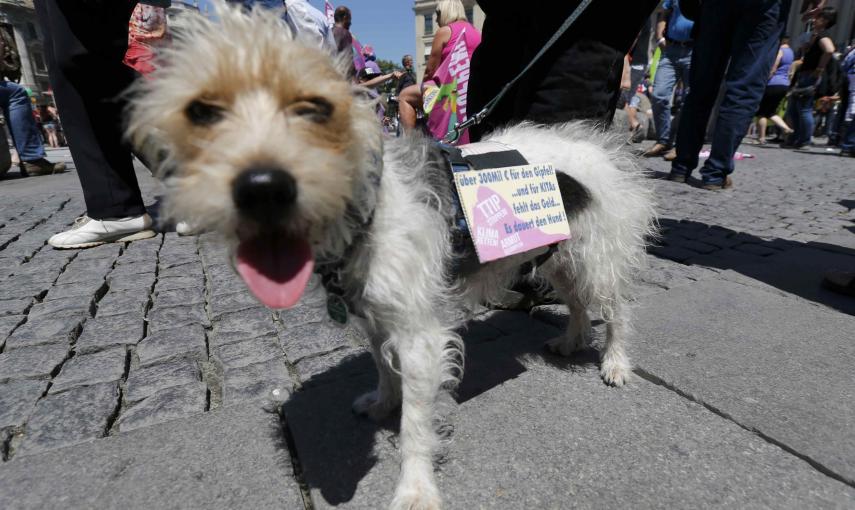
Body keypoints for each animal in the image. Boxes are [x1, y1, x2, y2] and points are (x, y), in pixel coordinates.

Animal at [129, 2, 656, 506]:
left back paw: (614, 363)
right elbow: (383, 367)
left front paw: (416, 489)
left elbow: (415, 424)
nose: (262, 187)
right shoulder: (374, 318)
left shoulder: (421, 335)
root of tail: (598, 146)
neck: (368, 215)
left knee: (618, 310)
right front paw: (383, 404)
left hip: (597, 256)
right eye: (201, 112)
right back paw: (571, 340)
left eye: (316, 109)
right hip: (558, 255)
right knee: (578, 303)